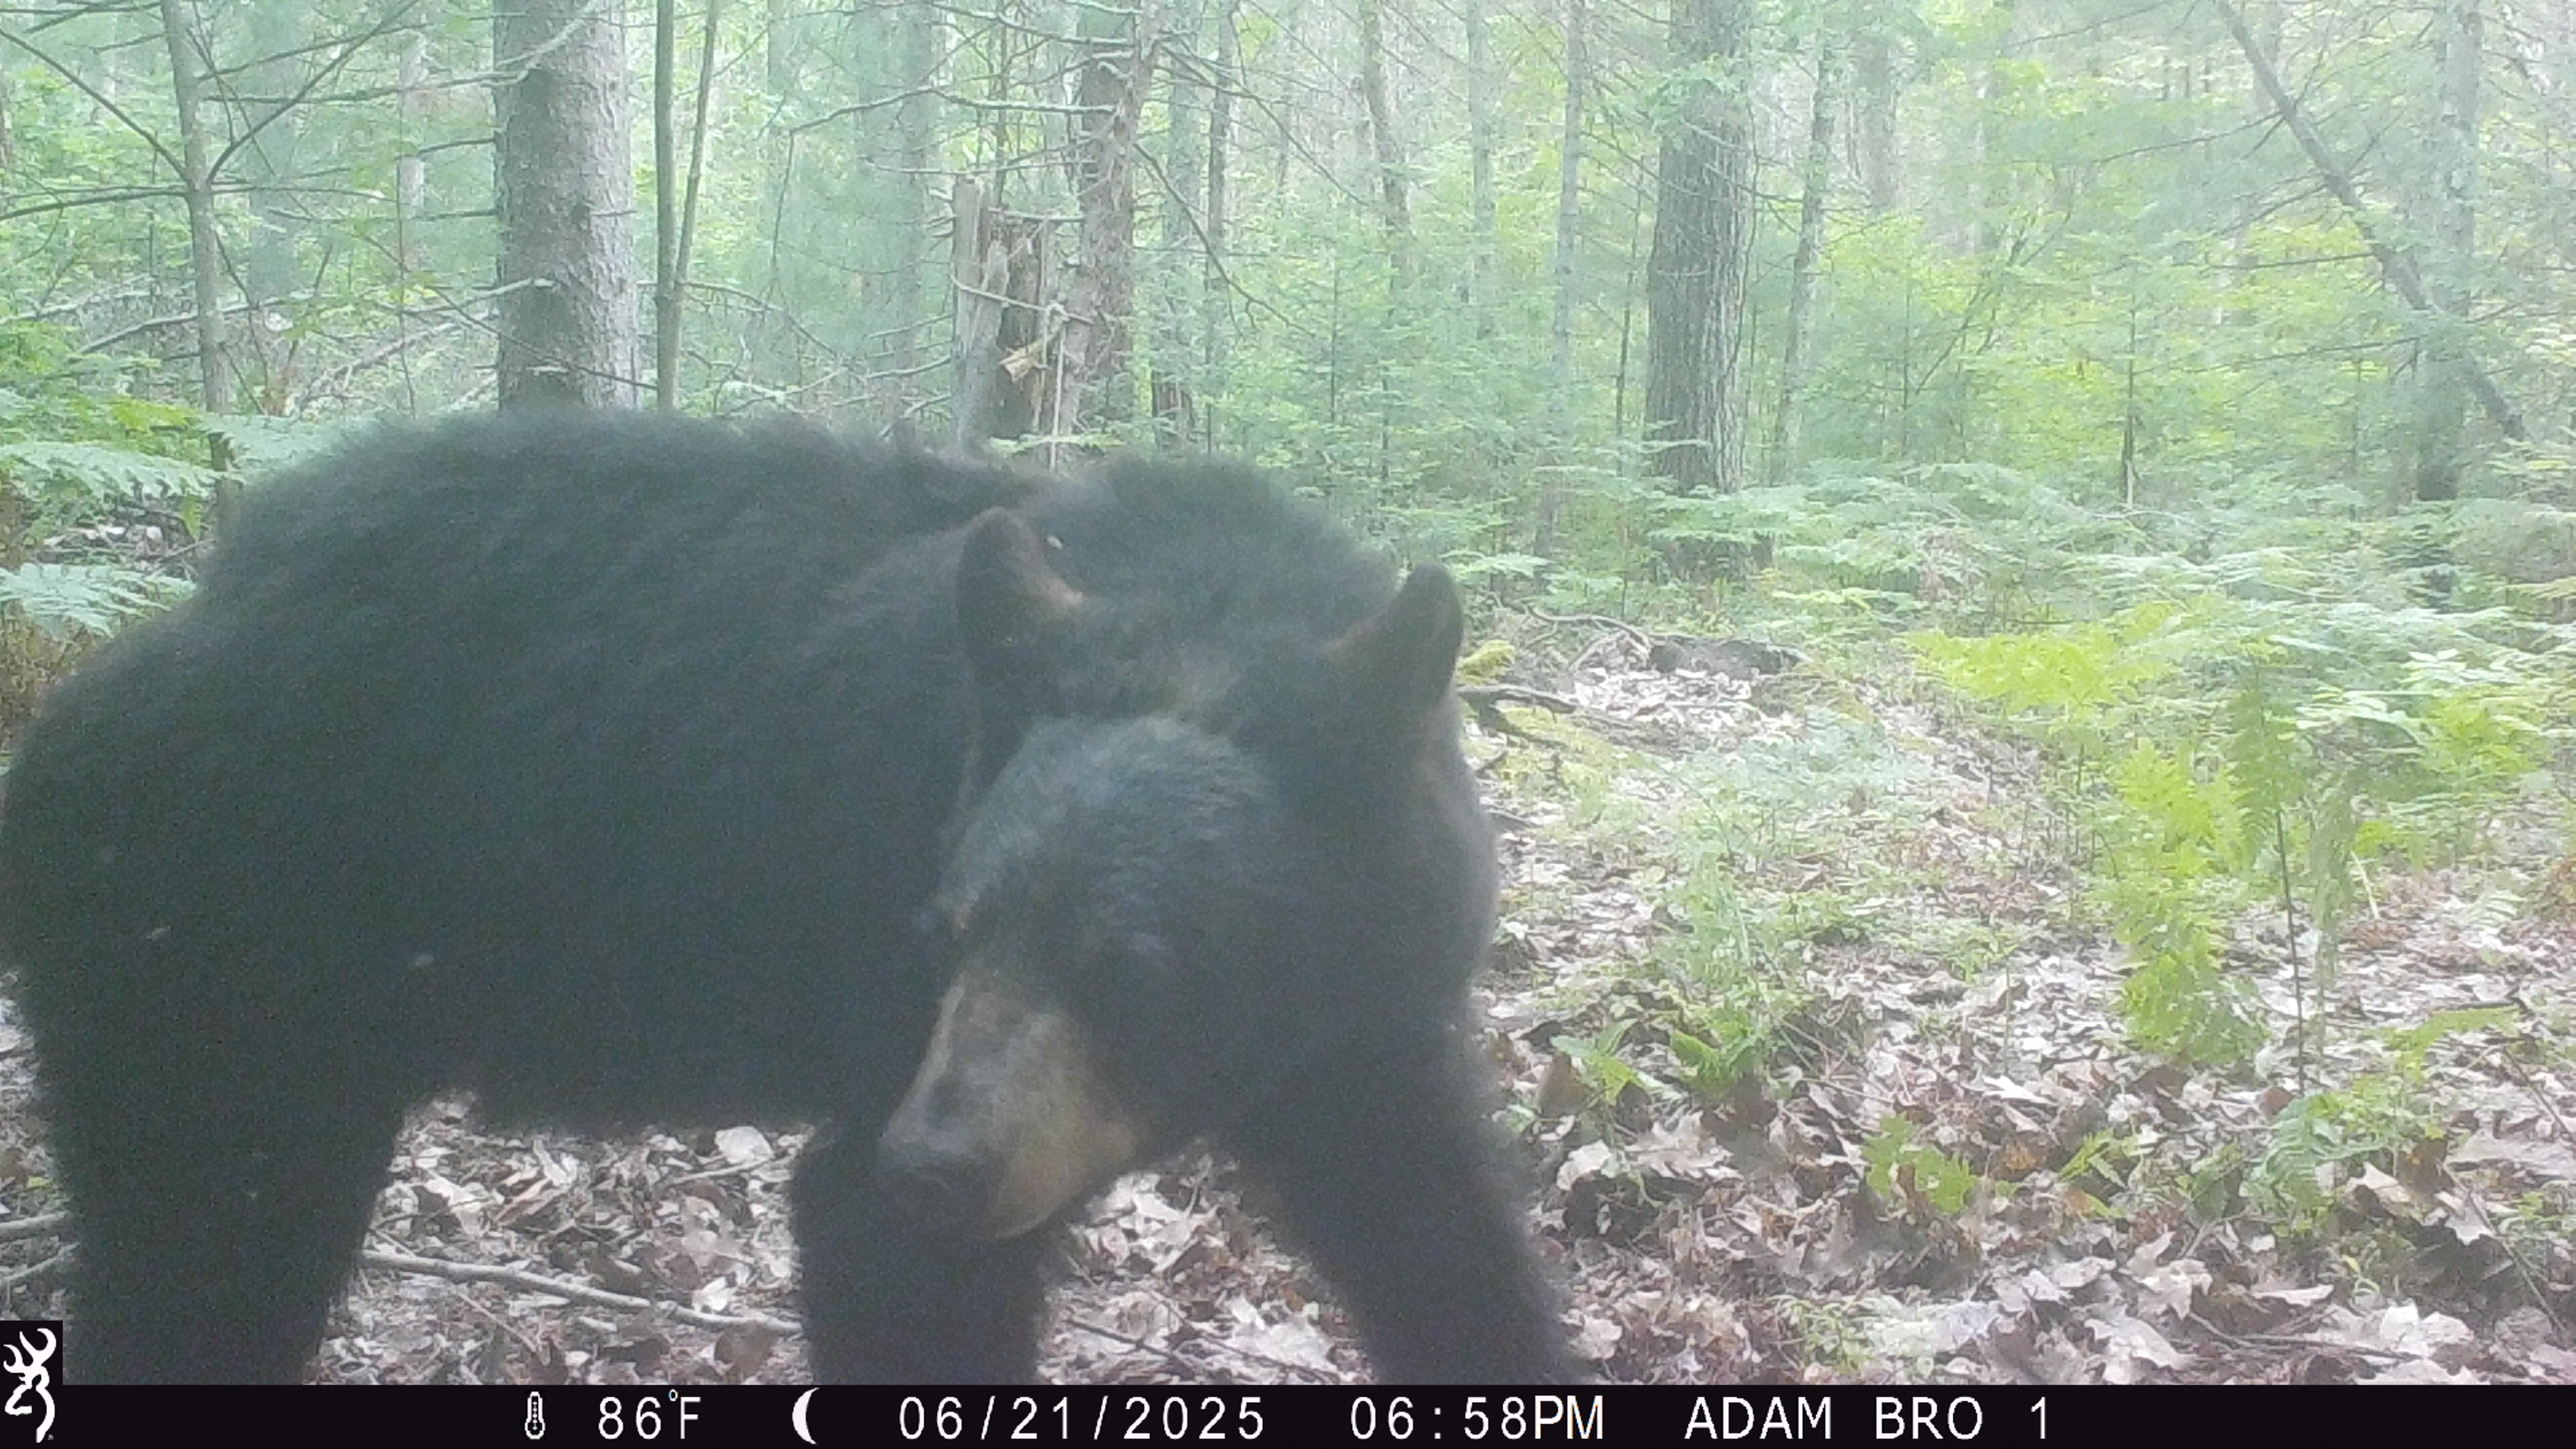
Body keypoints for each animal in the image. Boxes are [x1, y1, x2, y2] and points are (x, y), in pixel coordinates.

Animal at [0, 409, 1576, 1385]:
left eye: (1133, 965)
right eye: (948, 927)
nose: (937, 1164)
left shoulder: (1372, 1016)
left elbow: (1438, 1231)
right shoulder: (902, 1028)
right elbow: (883, 1264)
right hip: (213, 974)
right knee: (203, 1256)